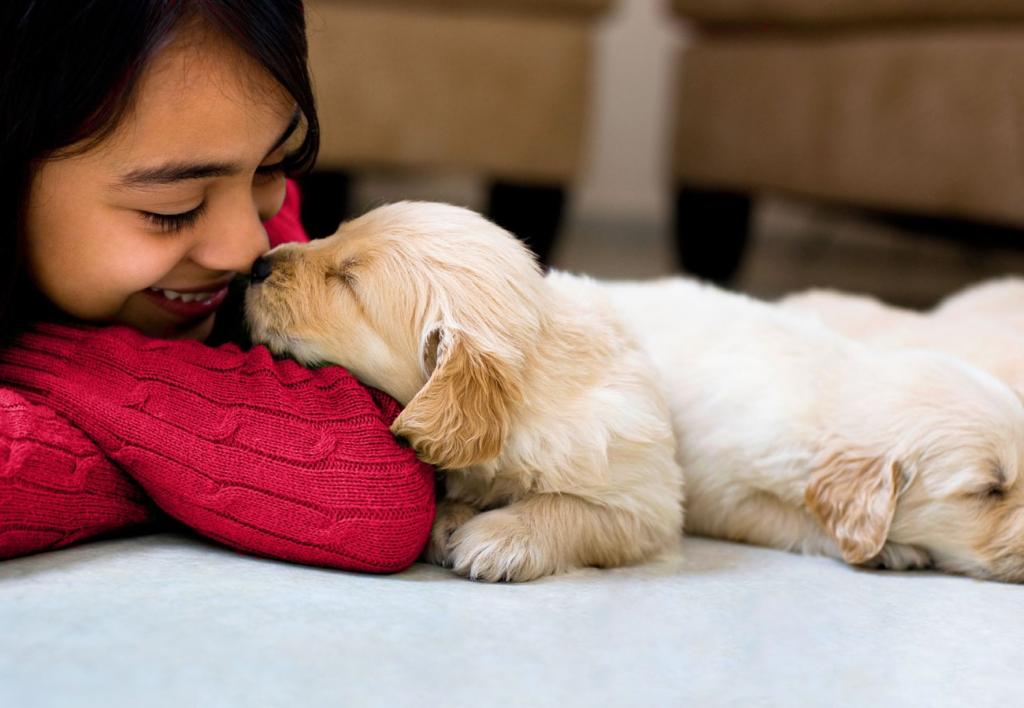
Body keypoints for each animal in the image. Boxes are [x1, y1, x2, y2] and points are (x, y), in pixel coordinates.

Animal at [245, 202, 684, 582]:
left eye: (349, 282)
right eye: (336, 233)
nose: (257, 265)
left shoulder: (646, 503)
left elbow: (573, 507)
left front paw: (501, 538)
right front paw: (449, 519)